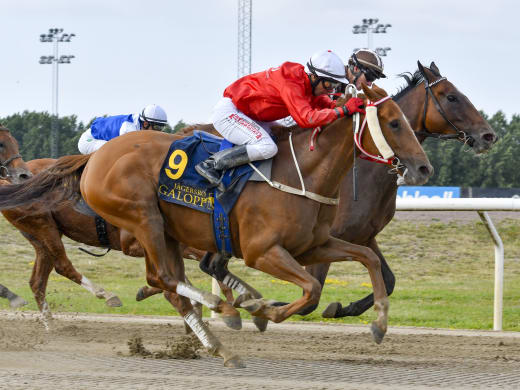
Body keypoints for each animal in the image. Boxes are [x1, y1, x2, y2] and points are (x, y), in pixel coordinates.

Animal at [0, 84, 434, 366]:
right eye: (393, 123)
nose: (423, 168)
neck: (302, 175)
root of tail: (94, 160)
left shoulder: (313, 244)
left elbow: (366, 260)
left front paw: (379, 323)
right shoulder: (262, 251)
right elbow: (309, 288)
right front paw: (261, 310)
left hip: (151, 231)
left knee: (159, 282)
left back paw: (217, 340)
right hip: (137, 220)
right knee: (159, 278)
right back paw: (215, 311)